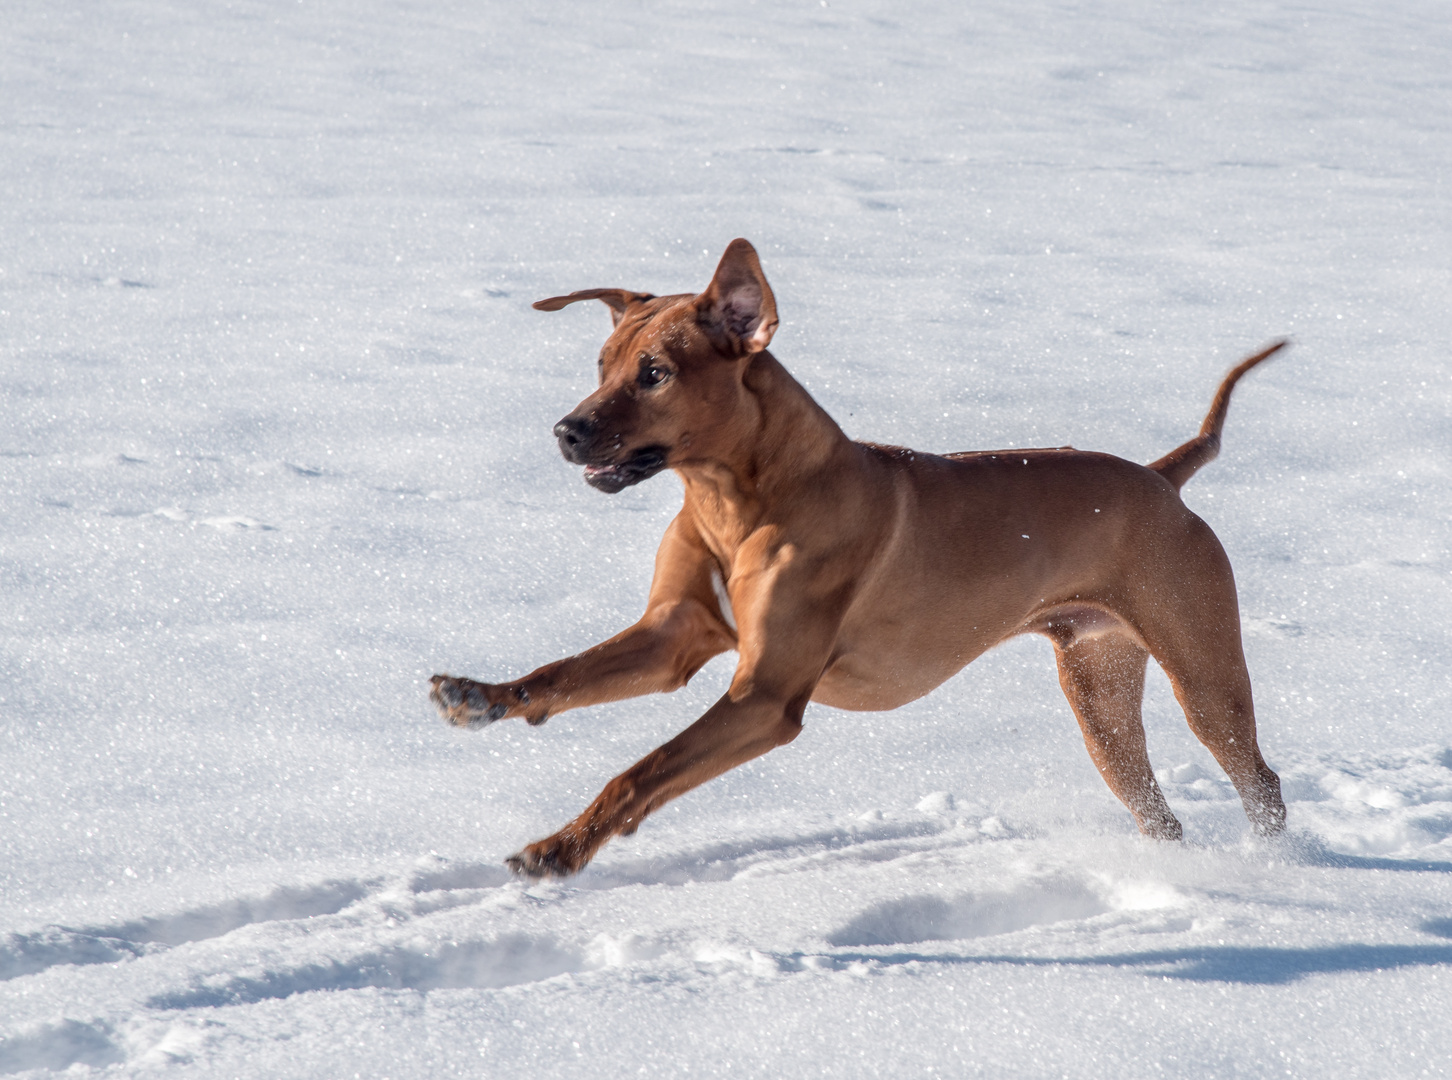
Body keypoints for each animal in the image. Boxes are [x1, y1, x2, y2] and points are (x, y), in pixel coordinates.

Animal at [426, 238, 1283, 876]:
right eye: (600, 364)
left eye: (655, 374)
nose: (565, 433)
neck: (738, 501)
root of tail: (1162, 476)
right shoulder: (673, 635)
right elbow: (561, 674)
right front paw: (478, 696)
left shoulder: (765, 698)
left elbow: (643, 768)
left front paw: (559, 849)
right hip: (1099, 694)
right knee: (1155, 809)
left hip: (1201, 670)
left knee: (1259, 779)